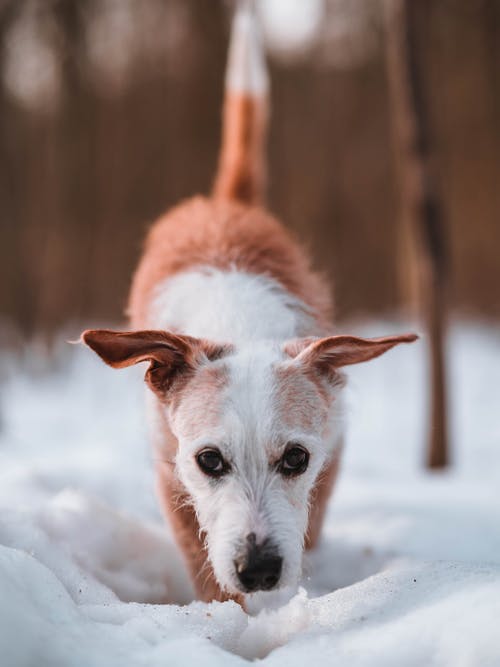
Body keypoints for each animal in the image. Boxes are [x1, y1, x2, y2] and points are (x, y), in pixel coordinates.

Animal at [83, 3, 418, 604]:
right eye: (210, 460)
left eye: (296, 458)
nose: (259, 569)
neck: (238, 325)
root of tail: (228, 203)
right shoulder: (168, 465)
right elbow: (200, 558)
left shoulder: (333, 444)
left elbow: (313, 514)